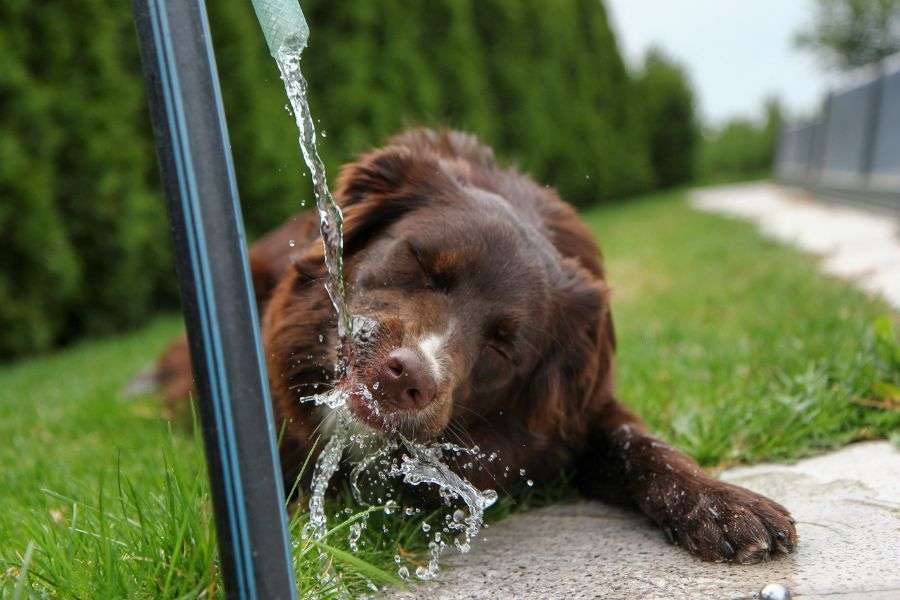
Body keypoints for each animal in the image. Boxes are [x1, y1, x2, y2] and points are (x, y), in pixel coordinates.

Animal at [153, 127, 796, 564]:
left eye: (504, 347)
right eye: (420, 264)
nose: (407, 377)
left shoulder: (582, 413)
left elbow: (642, 445)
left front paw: (724, 503)